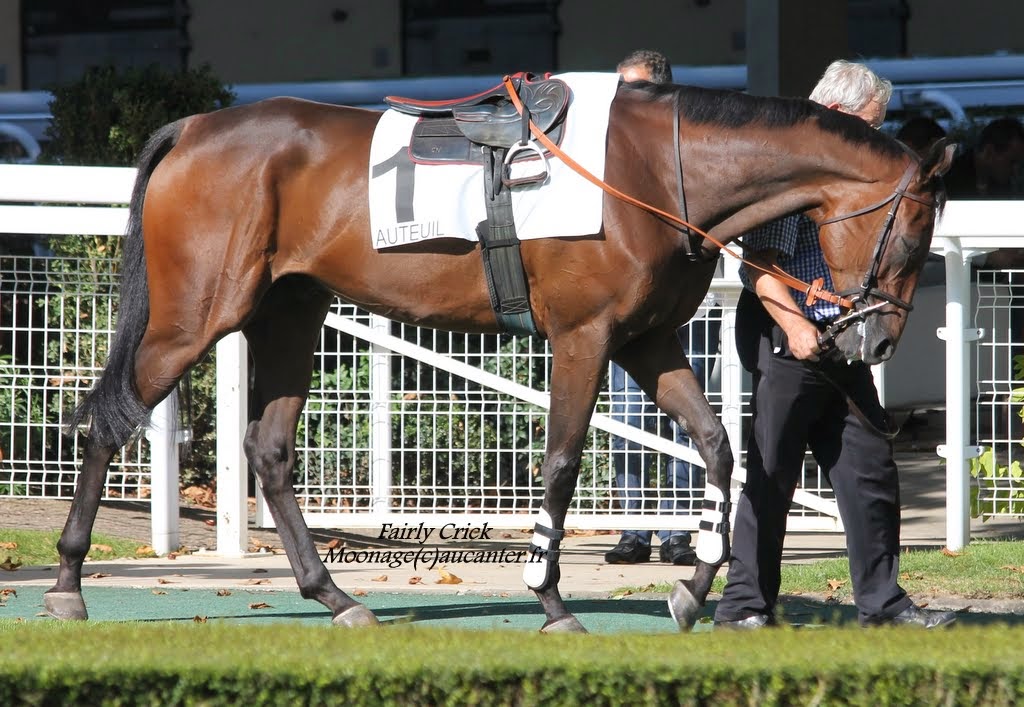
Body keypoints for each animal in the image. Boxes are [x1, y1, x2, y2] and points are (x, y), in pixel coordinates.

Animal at [46, 76, 950, 627]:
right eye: (911, 235)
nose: (875, 336)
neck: (655, 170)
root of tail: (196, 126)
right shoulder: (585, 338)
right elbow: (562, 462)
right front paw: (550, 599)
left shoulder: (647, 340)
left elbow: (719, 445)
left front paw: (693, 588)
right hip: (194, 316)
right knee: (105, 421)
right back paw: (64, 586)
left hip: (290, 311)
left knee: (267, 448)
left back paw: (334, 594)